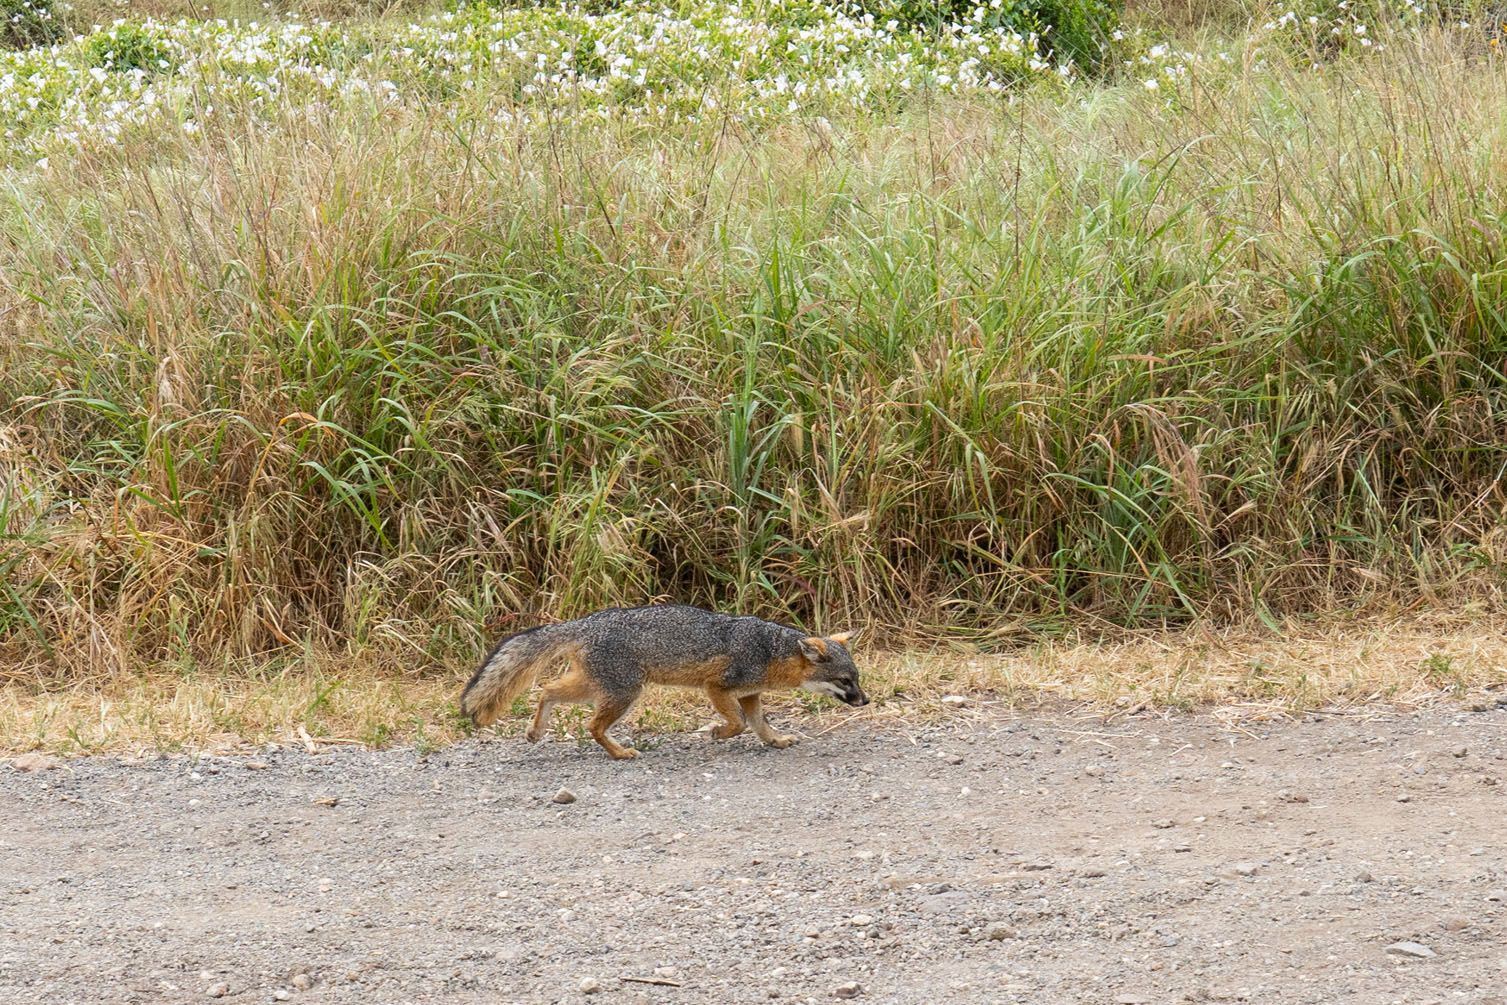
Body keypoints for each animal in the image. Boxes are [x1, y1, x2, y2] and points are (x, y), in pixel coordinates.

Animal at [459, 604, 867, 759]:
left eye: (857, 680)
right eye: (845, 681)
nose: (865, 701)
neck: (769, 651)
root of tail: (585, 622)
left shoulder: (749, 694)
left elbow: (759, 724)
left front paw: (777, 740)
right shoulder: (717, 687)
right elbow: (737, 723)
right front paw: (717, 733)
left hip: (597, 686)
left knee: (546, 691)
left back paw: (535, 731)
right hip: (624, 692)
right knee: (592, 725)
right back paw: (620, 753)